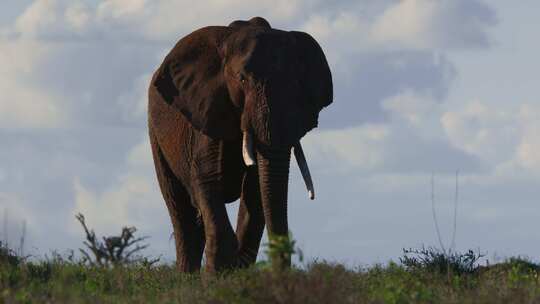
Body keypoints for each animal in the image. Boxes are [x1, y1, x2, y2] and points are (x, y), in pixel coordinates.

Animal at [149, 16, 334, 274]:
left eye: (298, 85)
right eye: (243, 79)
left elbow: (256, 191)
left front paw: (235, 273)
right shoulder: (209, 110)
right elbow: (208, 180)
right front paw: (216, 278)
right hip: (156, 135)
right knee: (181, 214)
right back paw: (186, 277)